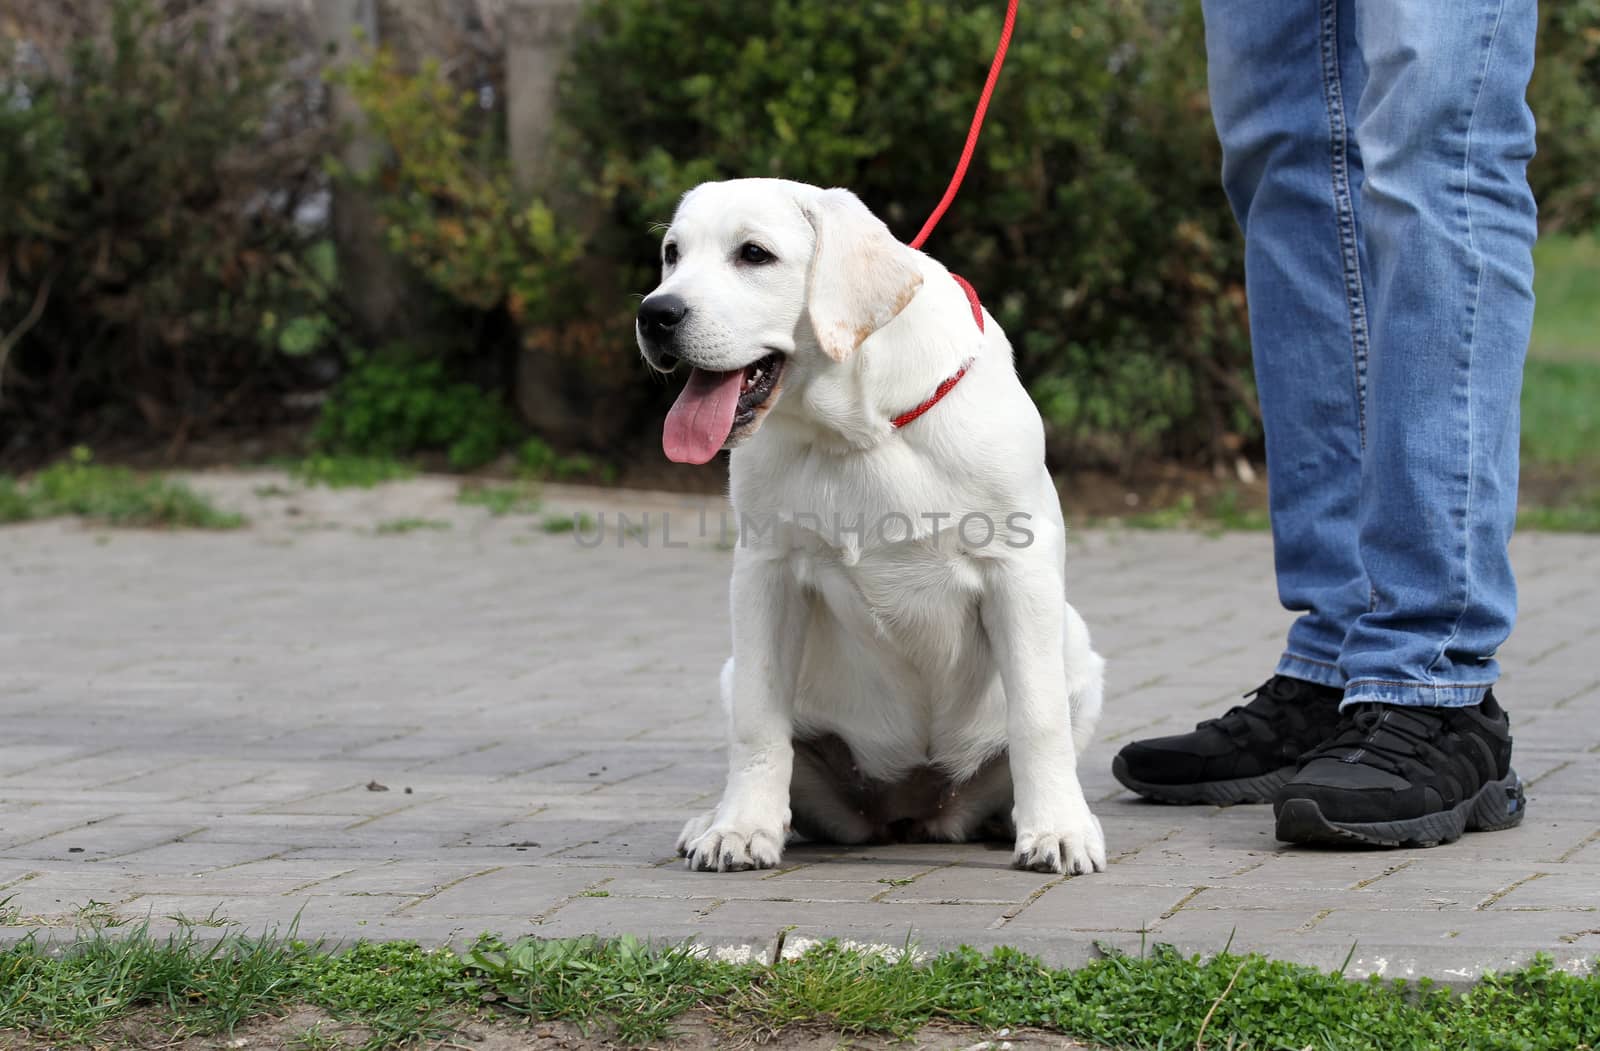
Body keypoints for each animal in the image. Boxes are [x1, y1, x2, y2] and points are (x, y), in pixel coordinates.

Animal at [630, 178, 1107, 870]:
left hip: (1079, 651)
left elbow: (1038, 720)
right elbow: (758, 719)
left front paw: (1059, 832)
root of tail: (911, 809)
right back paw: (715, 820)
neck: (854, 432)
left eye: (754, 254)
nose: (655, 314)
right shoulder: (764, 574)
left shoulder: (1021, 571)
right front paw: (741, 829)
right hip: (736, 675)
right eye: (672, 253)